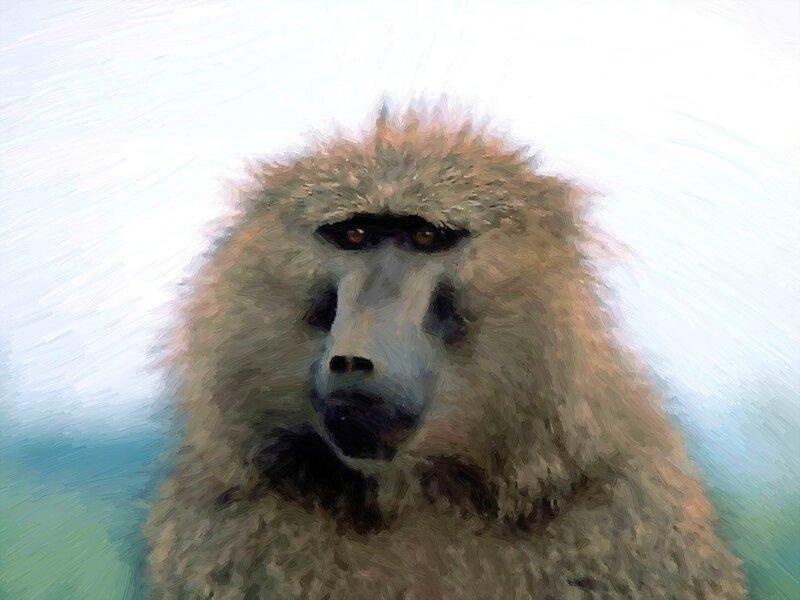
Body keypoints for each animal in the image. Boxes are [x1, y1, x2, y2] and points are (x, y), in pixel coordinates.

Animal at [145, 104, 746, 599]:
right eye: (355, 235)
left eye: (426, 239)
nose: (354, 359)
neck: (420, 493)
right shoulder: (233, 517)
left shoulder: (621, 513)